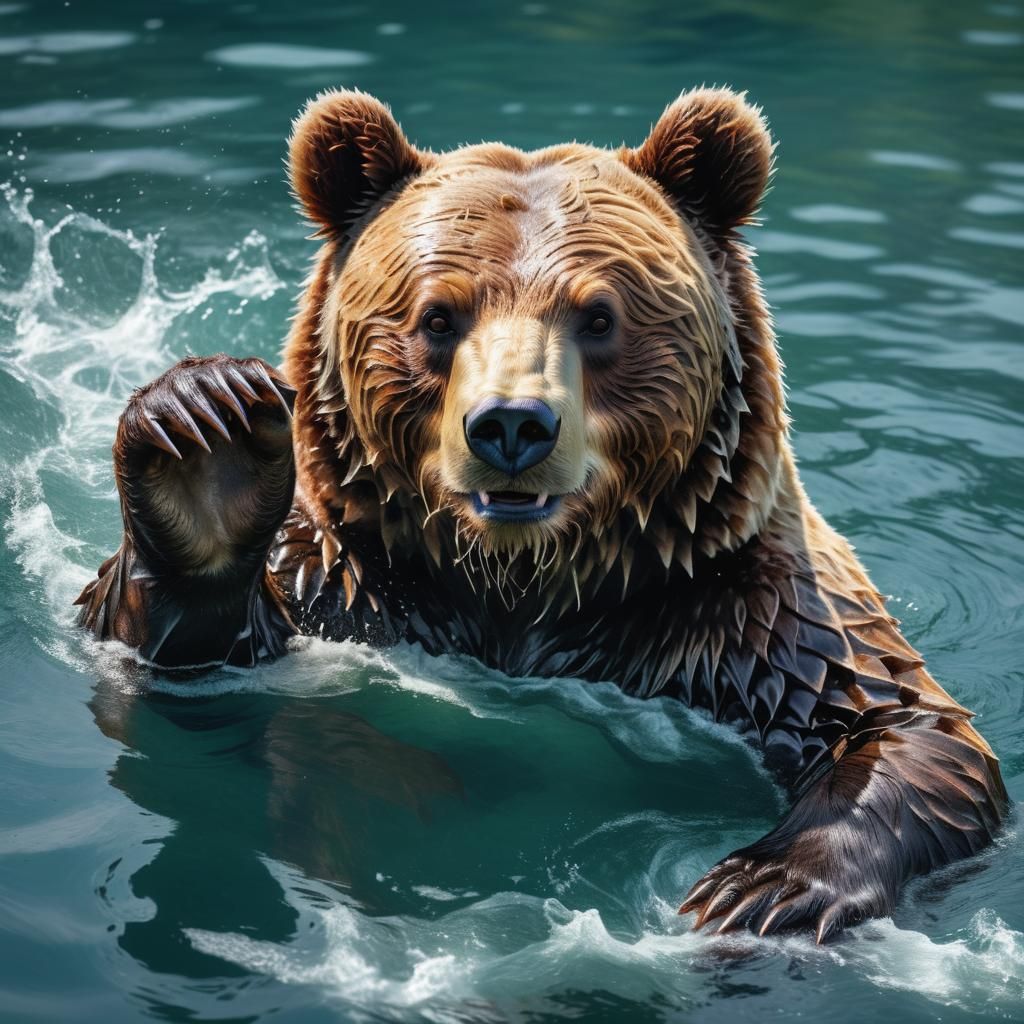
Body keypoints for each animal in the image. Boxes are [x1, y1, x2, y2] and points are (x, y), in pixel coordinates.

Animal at [76, 86, 1007, 942]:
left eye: (598, 315)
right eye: (437, 315)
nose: (512, 426)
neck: (518, 585)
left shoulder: (735, 611)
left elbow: (908, 727)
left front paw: (762, 884)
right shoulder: (338, 577)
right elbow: (180, 652)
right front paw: (208, 442)